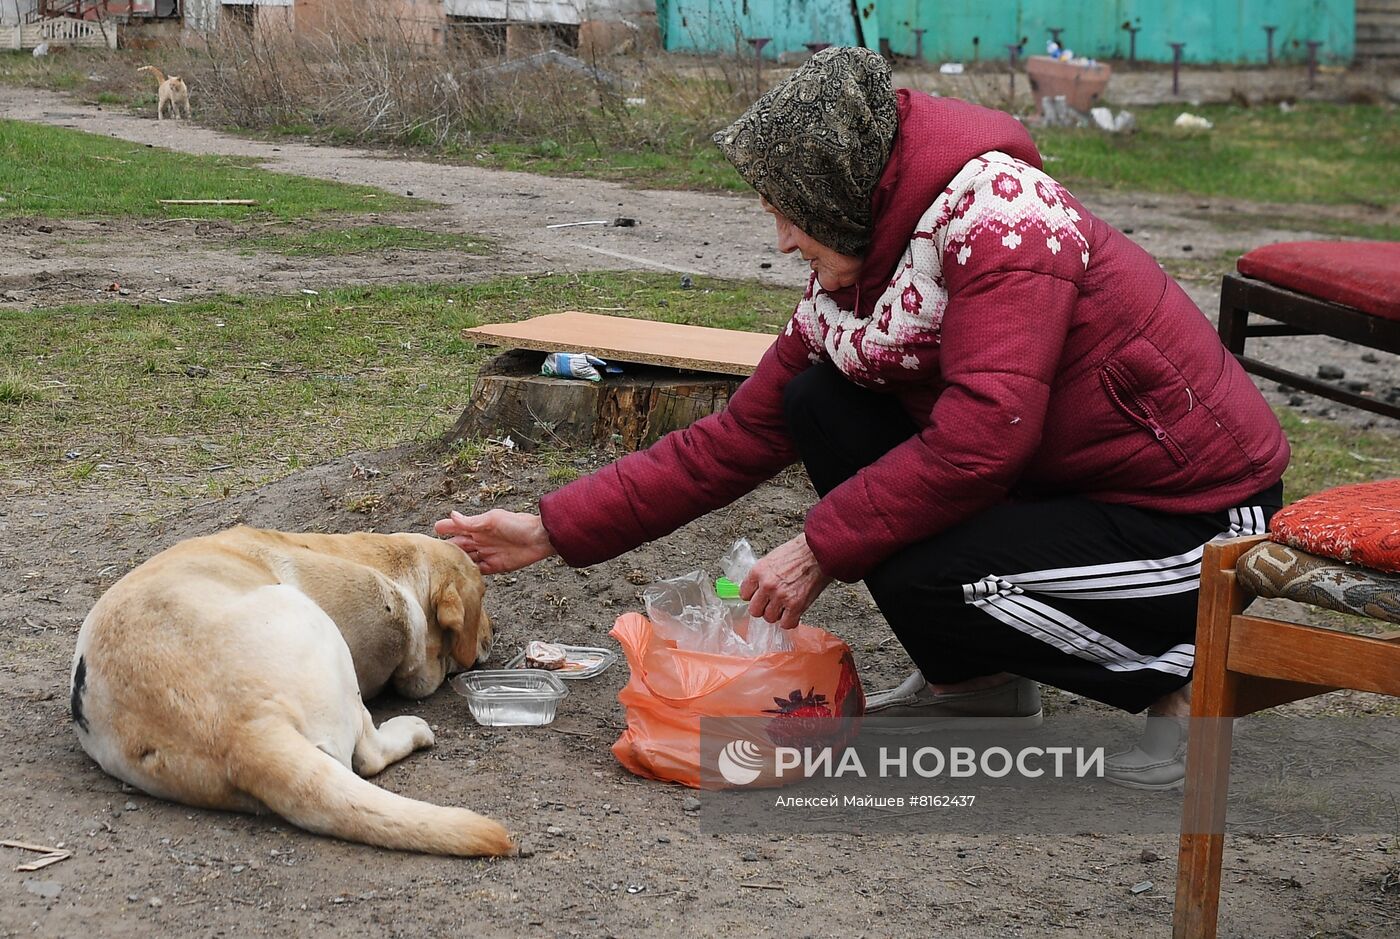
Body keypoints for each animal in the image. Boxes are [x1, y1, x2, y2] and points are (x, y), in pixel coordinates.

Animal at [66, 528, 515, 862]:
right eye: (483, 598)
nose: (493, 632)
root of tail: (241, 733)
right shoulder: (389, 602)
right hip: (314, 622)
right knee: (369, 753)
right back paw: (412, 729)